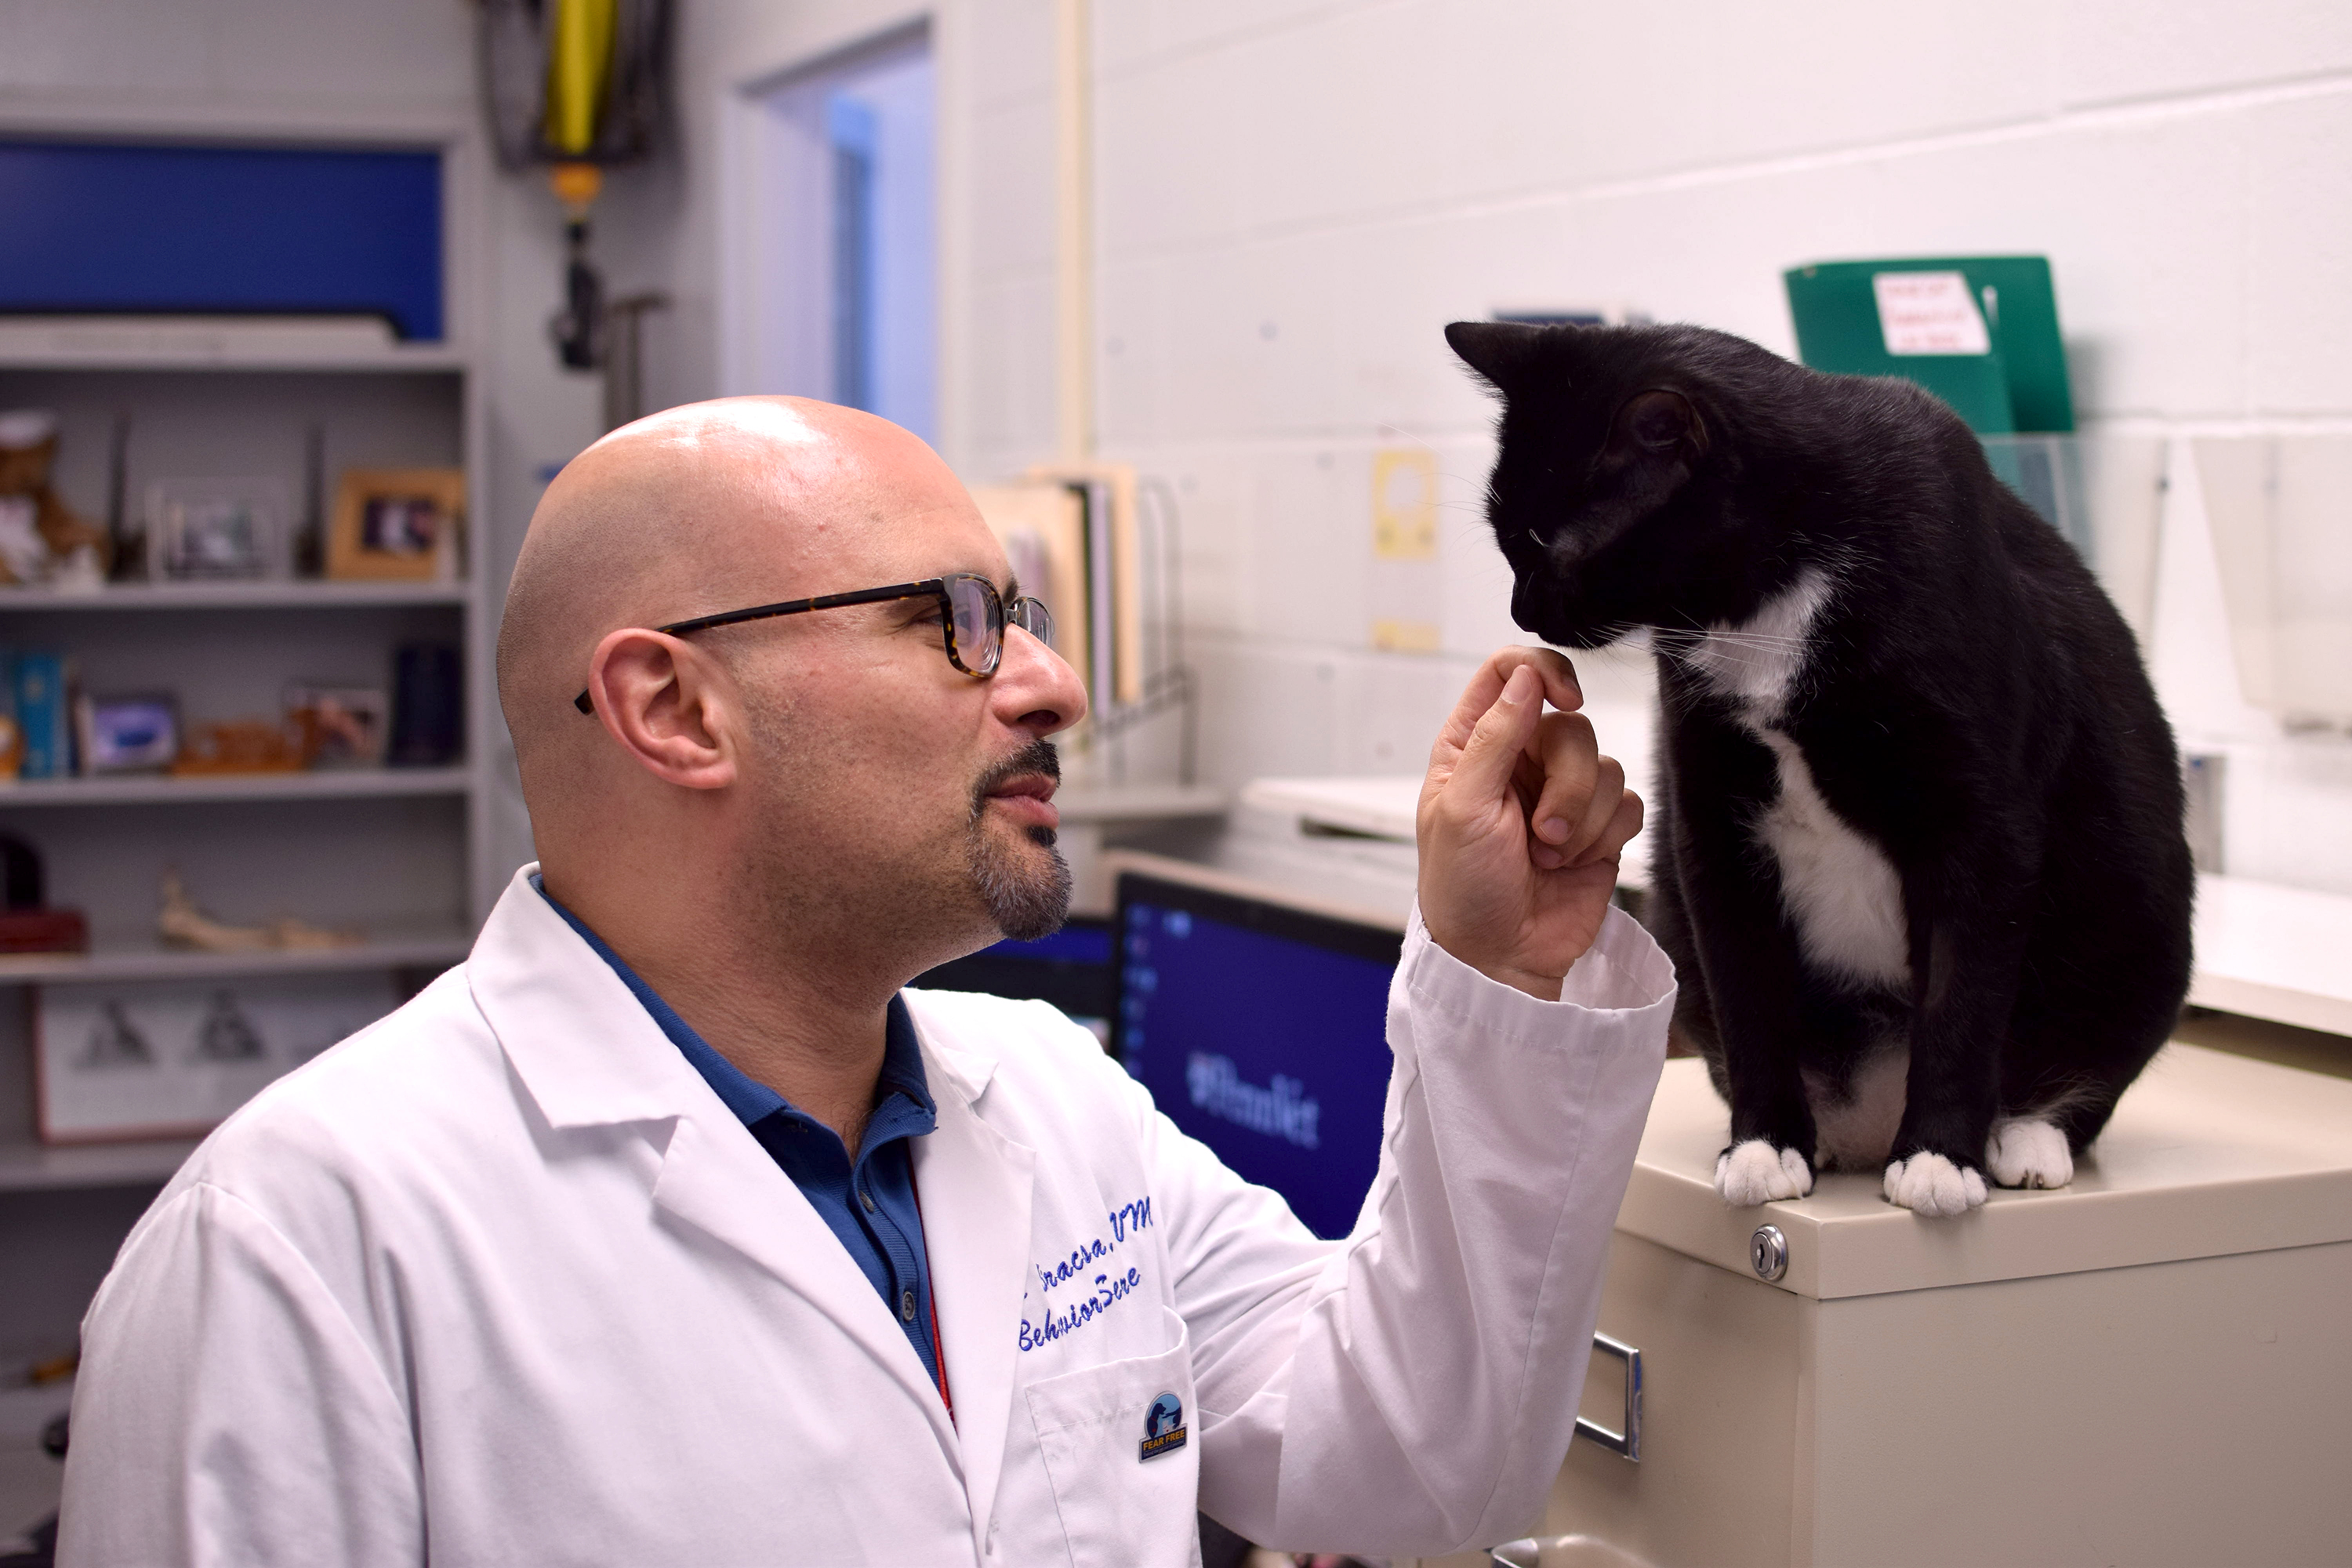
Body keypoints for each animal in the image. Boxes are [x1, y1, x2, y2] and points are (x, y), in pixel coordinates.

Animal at [1439, 324, 2192, 1222]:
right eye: (1505, 535)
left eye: (1550, 546)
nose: (1523, 611)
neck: (1772, 602)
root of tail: (1871, 1117)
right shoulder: (1711, 820)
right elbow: (1747, 986)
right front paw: (1766, 1142)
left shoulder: (1984, 819)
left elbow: (1964, 990)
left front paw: (1940, 1155)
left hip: (2139, 930)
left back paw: (2022, 1138)